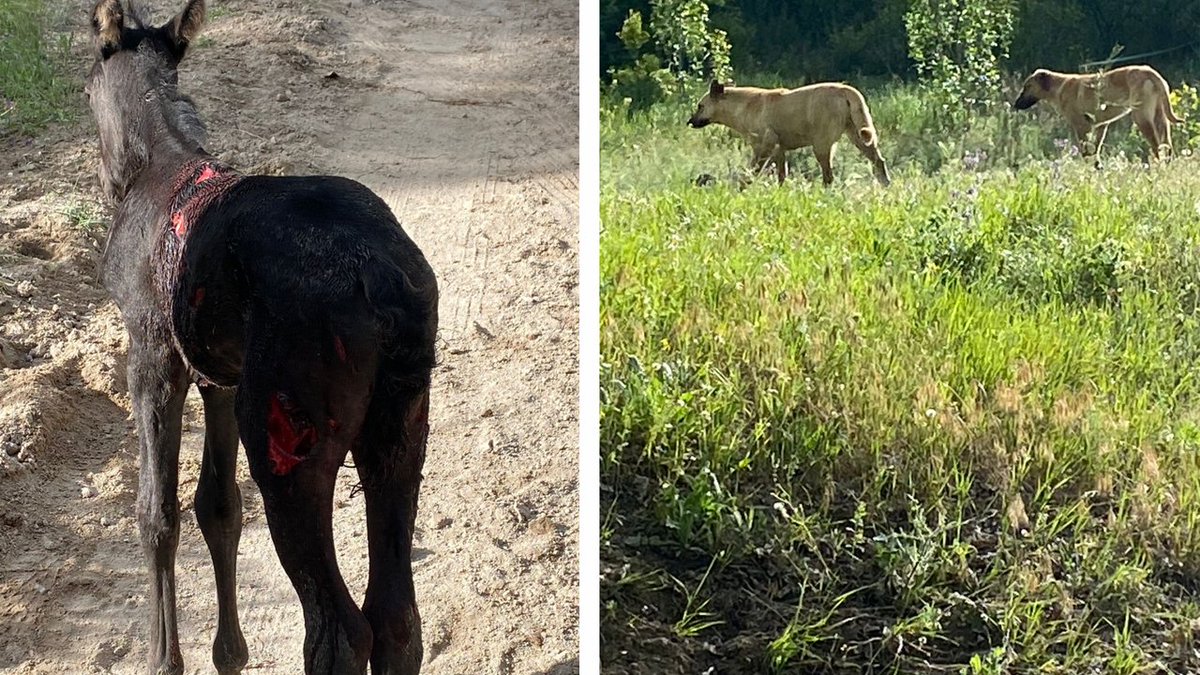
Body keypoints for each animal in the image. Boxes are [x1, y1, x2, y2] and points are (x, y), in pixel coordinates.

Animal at [686, 81, 892, 186]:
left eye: (700, 106)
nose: (690, 122)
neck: (743, 107)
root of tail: (847, 91)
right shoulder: (779, 150)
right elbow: (781, 175)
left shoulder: (764, 145)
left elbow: (752, 170)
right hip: (860, 137)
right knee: (879, 161)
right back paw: (885, 184)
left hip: (822, 145)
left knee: (828, 176)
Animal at [1012, 65, 1180, 159]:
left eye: (1027, 87)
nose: (1015, 104)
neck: (1058, 86)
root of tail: (1151, 73)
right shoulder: (1101, 126)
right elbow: (1096, 151)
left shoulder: (1081, 127)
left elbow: (1086, 152)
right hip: (1160, 119)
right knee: (1167, 148)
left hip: (1142, 118)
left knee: (1157, 148)